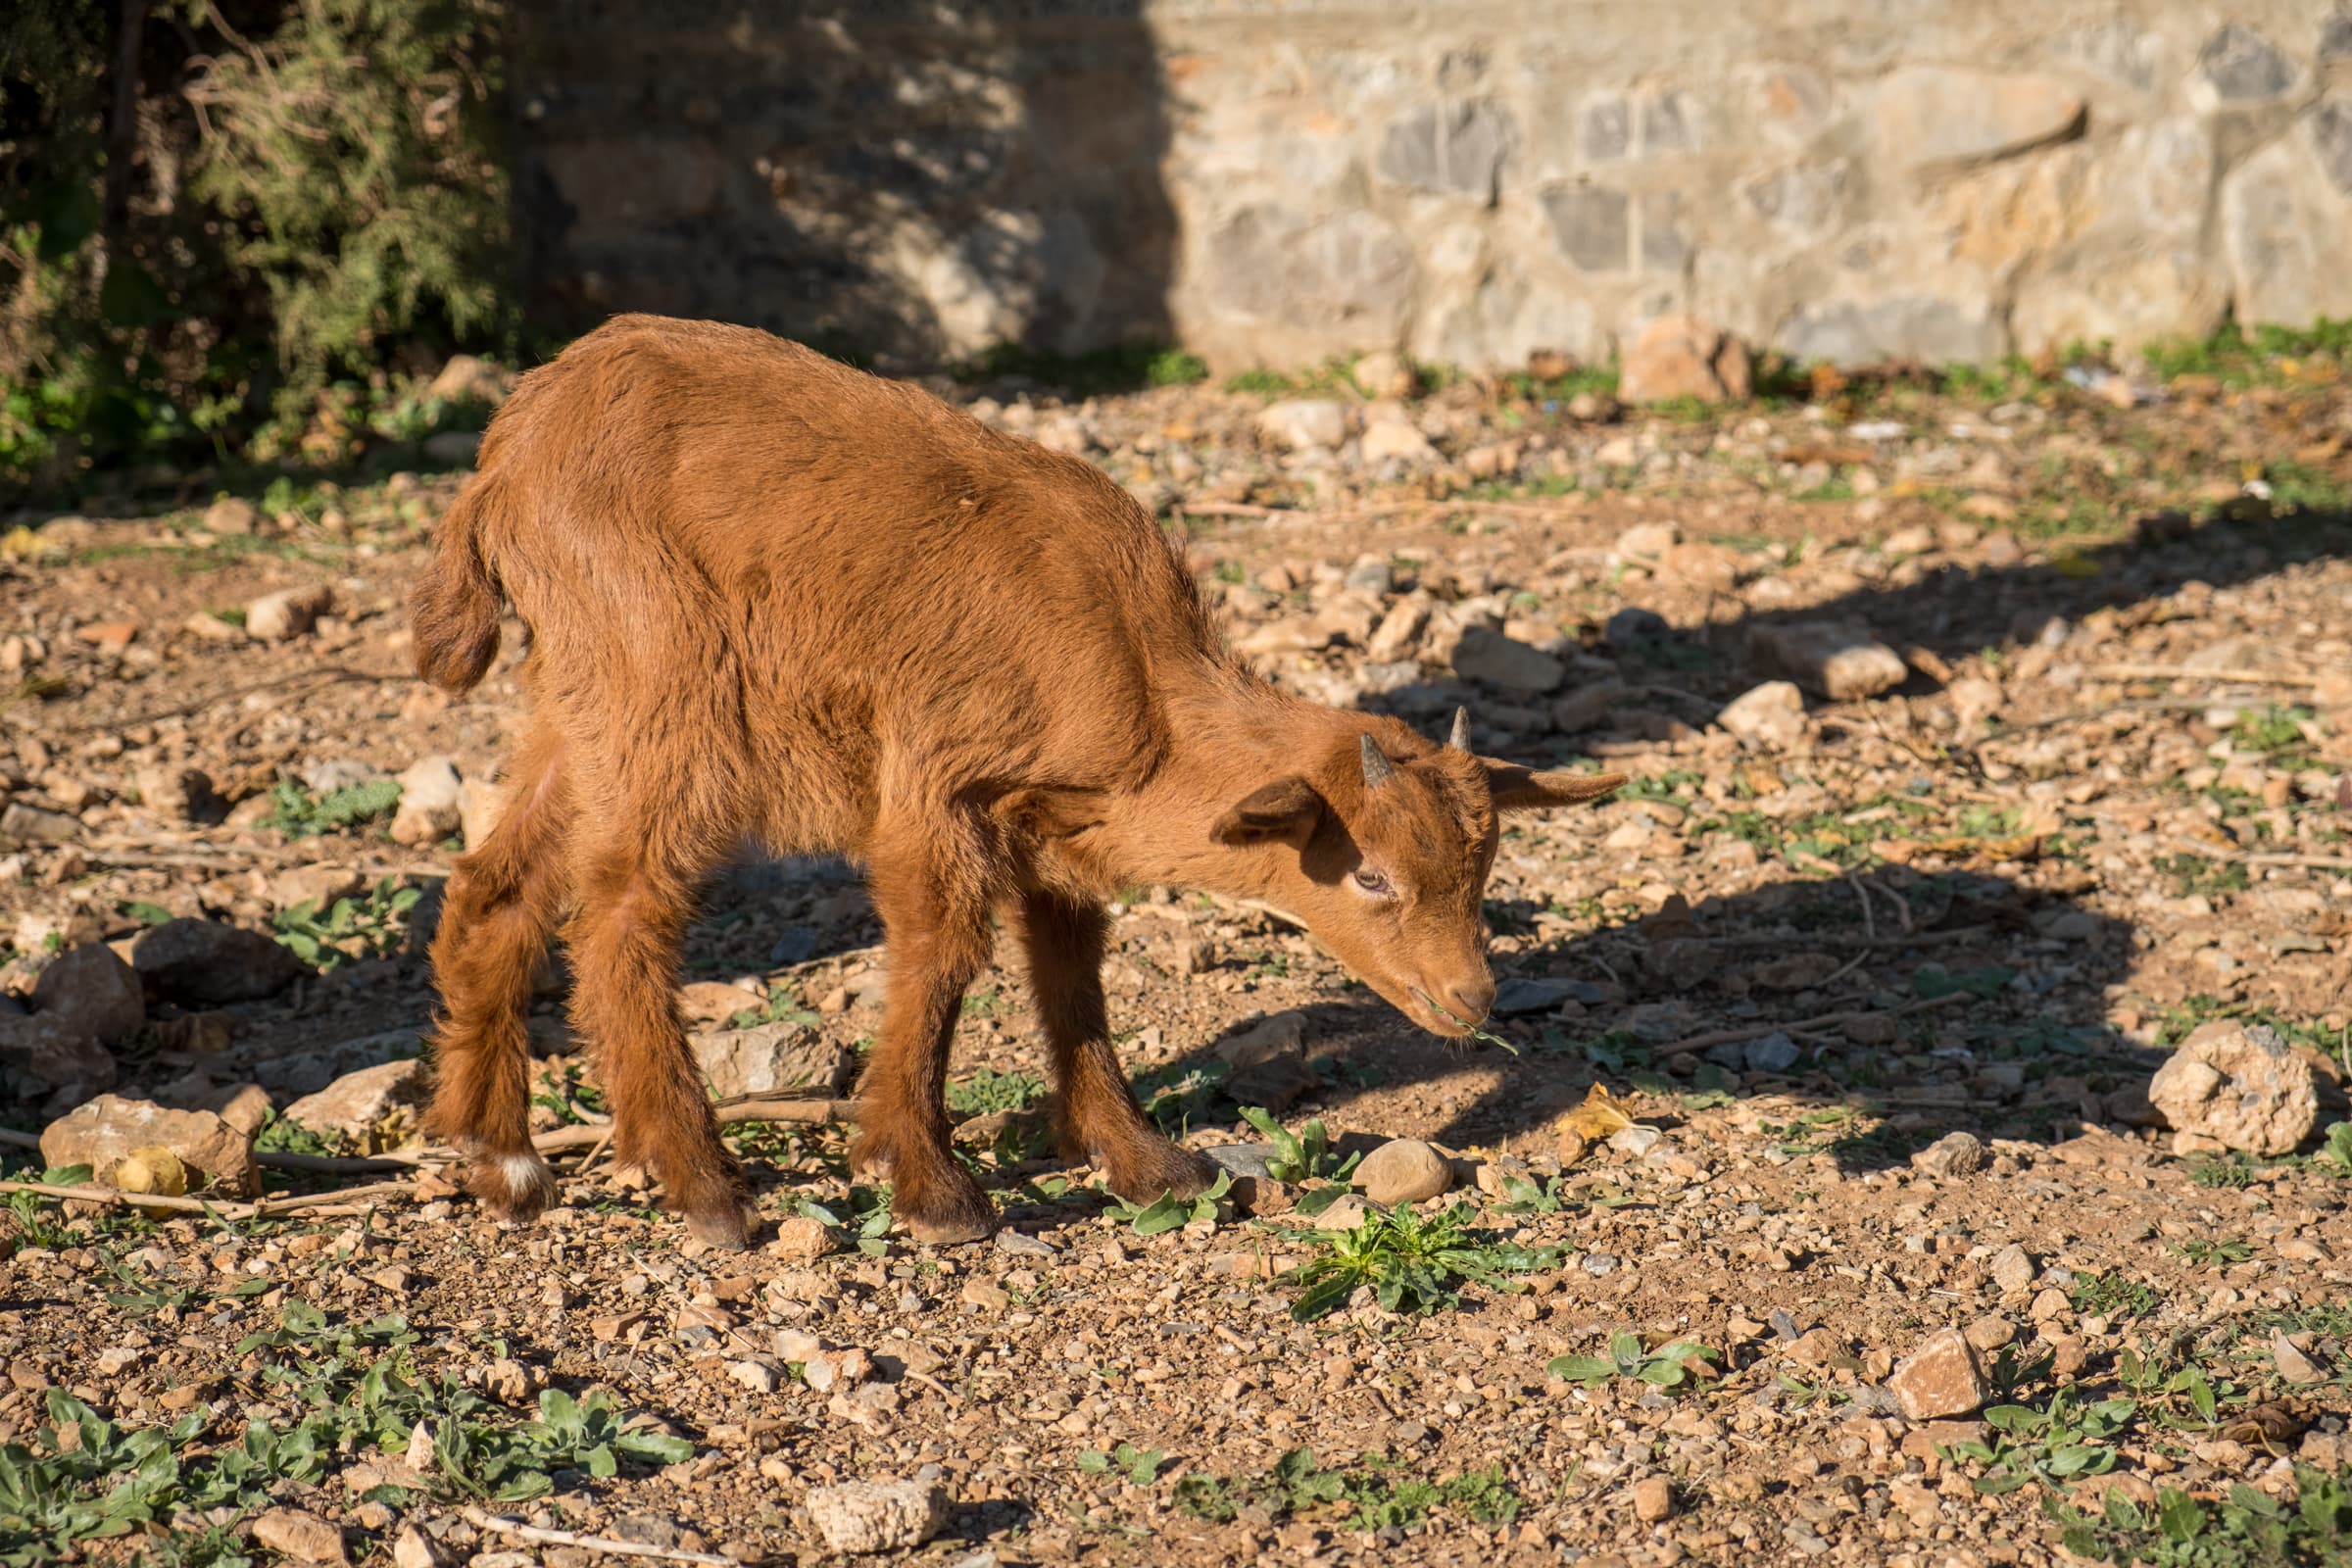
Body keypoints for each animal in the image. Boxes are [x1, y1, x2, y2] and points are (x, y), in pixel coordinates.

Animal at [409, 315, 1618, 1250]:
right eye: (1369, 877)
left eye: (1482, 869)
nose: (1472, 1001)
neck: (1144, 683)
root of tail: (509, 452)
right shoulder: (939, 789)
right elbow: (940, 961)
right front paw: (934, 1189)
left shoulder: (1053, 829)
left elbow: (1072, 977)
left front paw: (1142, 1161)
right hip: (668, 693)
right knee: (621, 916)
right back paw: (705, 1189)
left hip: (581, 705)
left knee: (494, 885)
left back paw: (497, 1155)